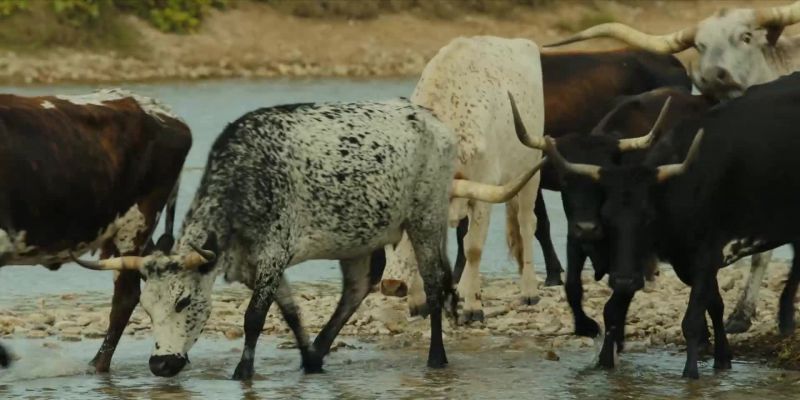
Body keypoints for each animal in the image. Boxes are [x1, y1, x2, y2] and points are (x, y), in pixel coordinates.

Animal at [73, 97, 547, 379]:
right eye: (147, 307)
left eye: (183, 301)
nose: (160, 364)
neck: (245, 179)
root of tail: (433, 120)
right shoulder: (259, 264)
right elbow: (290, 311)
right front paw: (307, 357)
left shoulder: (272, 254)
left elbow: (254, 317)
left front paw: (243, 373)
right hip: (357, 237)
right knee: (358, 287)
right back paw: (318, 353)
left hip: (425, 217)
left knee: (433, 284)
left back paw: (436, 357)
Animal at [533, 71, 800, 378]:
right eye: (607, 215)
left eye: (649, 216)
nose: (587, 228)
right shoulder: (681, 260)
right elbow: (711, 304)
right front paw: (722, 359)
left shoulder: (706, 254)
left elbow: (692, 319)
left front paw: (692, 373)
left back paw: (785, 318)